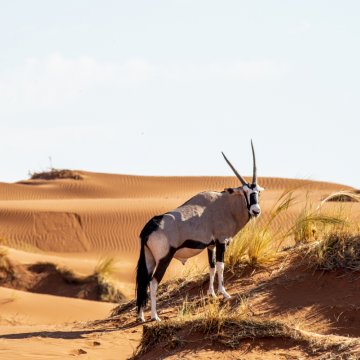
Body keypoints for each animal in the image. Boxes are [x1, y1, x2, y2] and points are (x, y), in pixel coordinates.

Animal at [136, 141, 262, 320]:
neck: (225, 205)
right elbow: (221, 267)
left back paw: (141, 316)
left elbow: (211, 267)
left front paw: (212, 294)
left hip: (149, 259)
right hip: (164, 258)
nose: (256, 211)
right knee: (153, 282)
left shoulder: (211, 245)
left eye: (257, 192)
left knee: (143, 281)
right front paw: (224, 293)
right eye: (245, 192)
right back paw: (155, 316)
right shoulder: (221, 242)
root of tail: (150, 226)